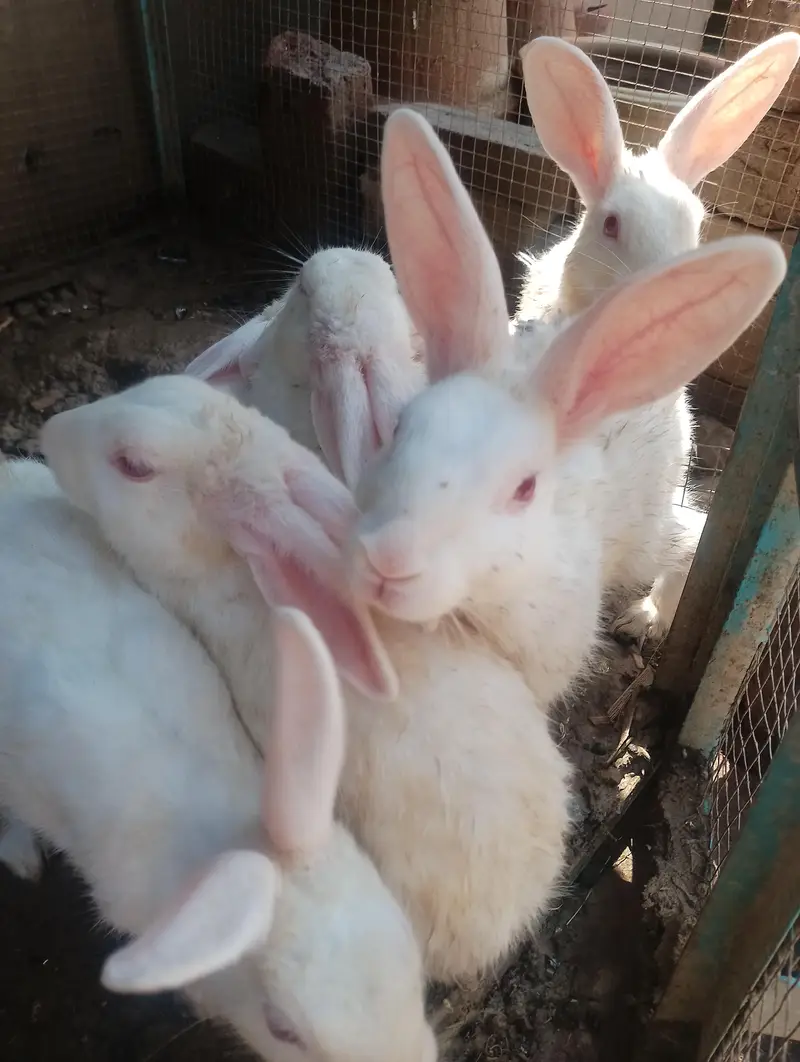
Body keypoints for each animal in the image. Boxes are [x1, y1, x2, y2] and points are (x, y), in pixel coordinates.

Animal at [342, 108, 787, 711]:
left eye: (525, 489)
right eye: (396, 429)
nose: (388, 559)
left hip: (650, 529)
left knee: (687, 553)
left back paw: (643, 620)